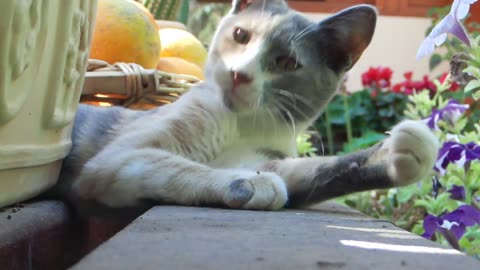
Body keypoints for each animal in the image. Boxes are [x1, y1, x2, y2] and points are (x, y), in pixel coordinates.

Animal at [53, 0, 438, 216]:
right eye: (241, 35)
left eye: (287, 62)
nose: (240, 73)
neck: (242, 124)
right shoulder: (114, 159)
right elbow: (173, 164)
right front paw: (248, 183)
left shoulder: (270, 155)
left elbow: (312, 171)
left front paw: (398, 153)